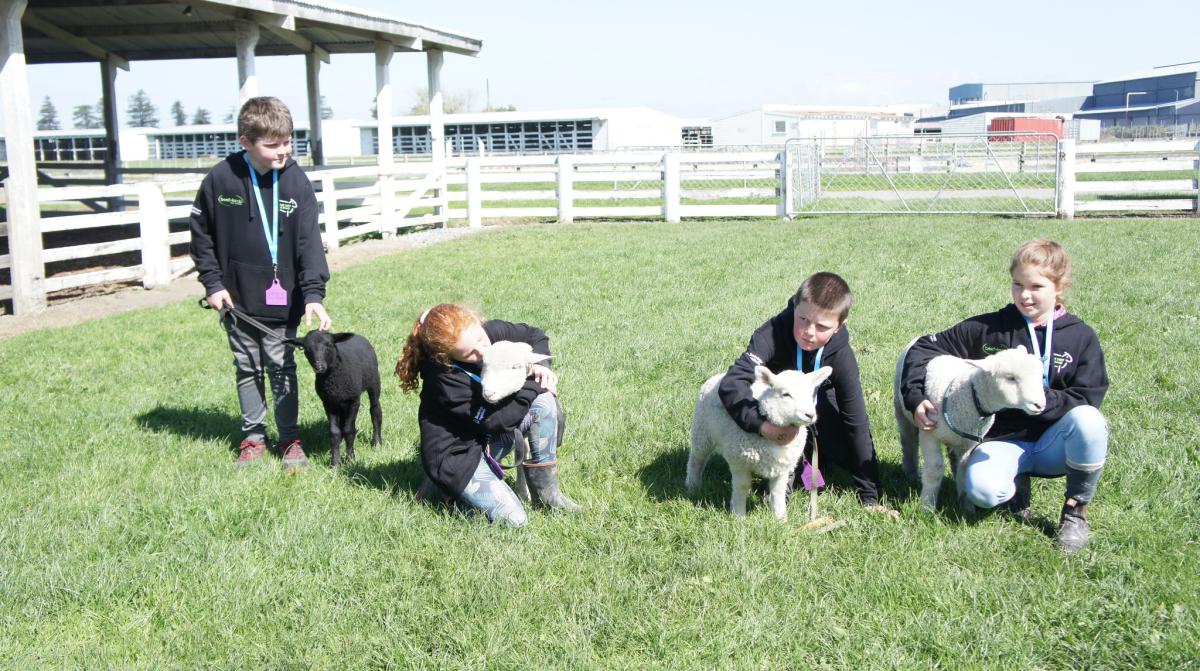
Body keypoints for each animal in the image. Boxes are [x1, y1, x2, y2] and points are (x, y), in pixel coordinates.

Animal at [284, 331, 381, 468]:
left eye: (329, 344)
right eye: (306, 349)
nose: (319, 366)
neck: (333, 379)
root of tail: (358, 336)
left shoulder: (353, 401)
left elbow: (349, 430)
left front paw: (350, 459)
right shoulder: (329, 403)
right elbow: (334, 432)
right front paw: (335, 463)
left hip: (374, 382)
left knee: (375, 410)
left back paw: (377, 443)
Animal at [691, 367, 830, 520]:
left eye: (811, 394)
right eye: (786, 394)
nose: (810, 415)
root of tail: (718, 376)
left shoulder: (783, 466)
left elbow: (778, 492)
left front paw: (781, 519)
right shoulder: (739, 461)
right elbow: (742, 487)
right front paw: (739, 516)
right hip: (702, 432)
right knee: (696, 460)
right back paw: (692, 485)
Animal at [892, 343, 1051, 511]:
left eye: (1041, 377)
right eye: (1010, 378)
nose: (1039, 405)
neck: (969, 396)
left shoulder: (969, 443)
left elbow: (963, 473)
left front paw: (966, 509)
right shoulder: (929, 434)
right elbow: (934, 471)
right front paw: (927, 507)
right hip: (903, 413)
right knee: (909, 443)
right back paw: (910, 473)